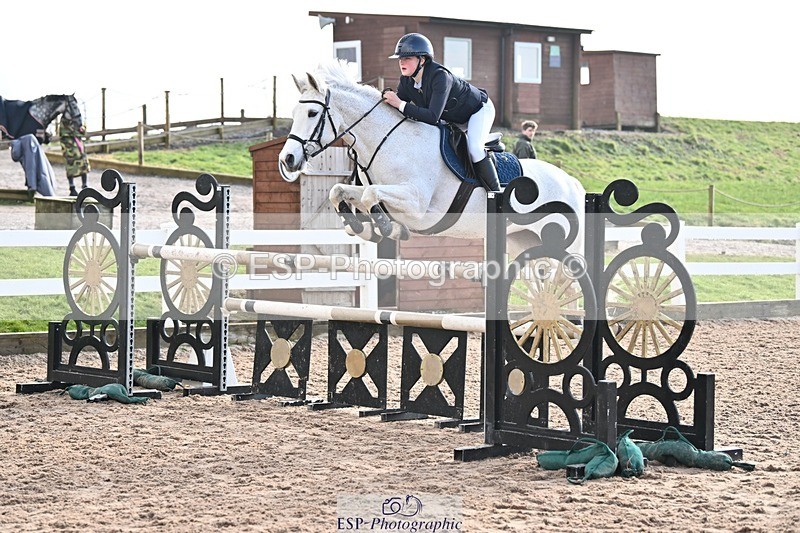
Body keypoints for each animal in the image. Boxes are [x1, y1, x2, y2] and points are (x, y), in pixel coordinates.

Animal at [278, 60, 586, 260]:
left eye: (312, 114)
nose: (288, 159)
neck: (390, 141)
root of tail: (573, 183)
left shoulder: (417, 204)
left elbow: (370, 195)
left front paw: (388, 229)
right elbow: (338, 190)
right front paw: (360, 228)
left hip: (565, 245)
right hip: (522, 241)